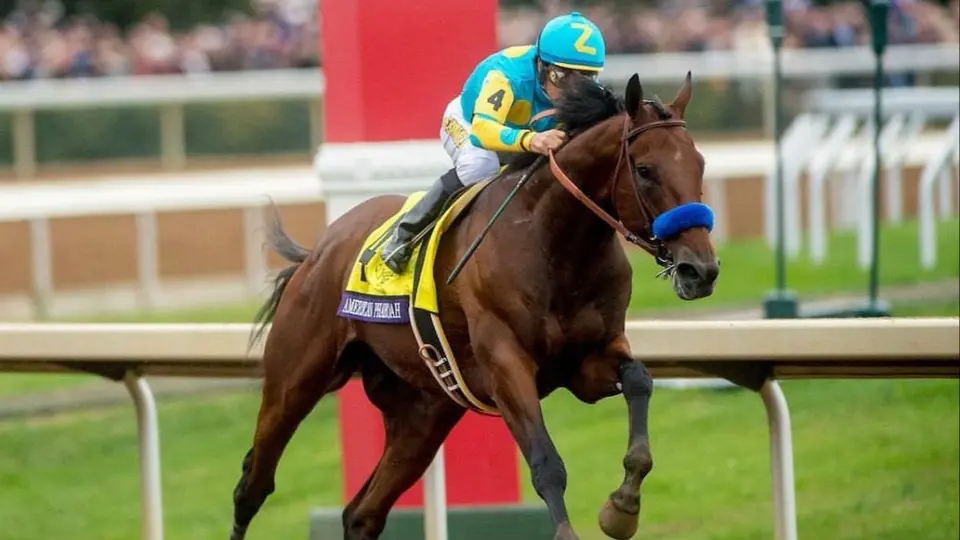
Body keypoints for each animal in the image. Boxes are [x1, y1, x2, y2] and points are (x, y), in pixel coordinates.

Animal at [229, 72, 719, 540]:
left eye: (700, 164)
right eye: (645, 169)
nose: (701, 270)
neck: (553, 244)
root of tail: (318, 252)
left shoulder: (587, 361)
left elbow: (639, 381)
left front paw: (623, 507)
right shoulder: (506, 364)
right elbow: (546, 463)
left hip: (423, 413)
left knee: (361, 514)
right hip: (294, 380)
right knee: (253, 486)